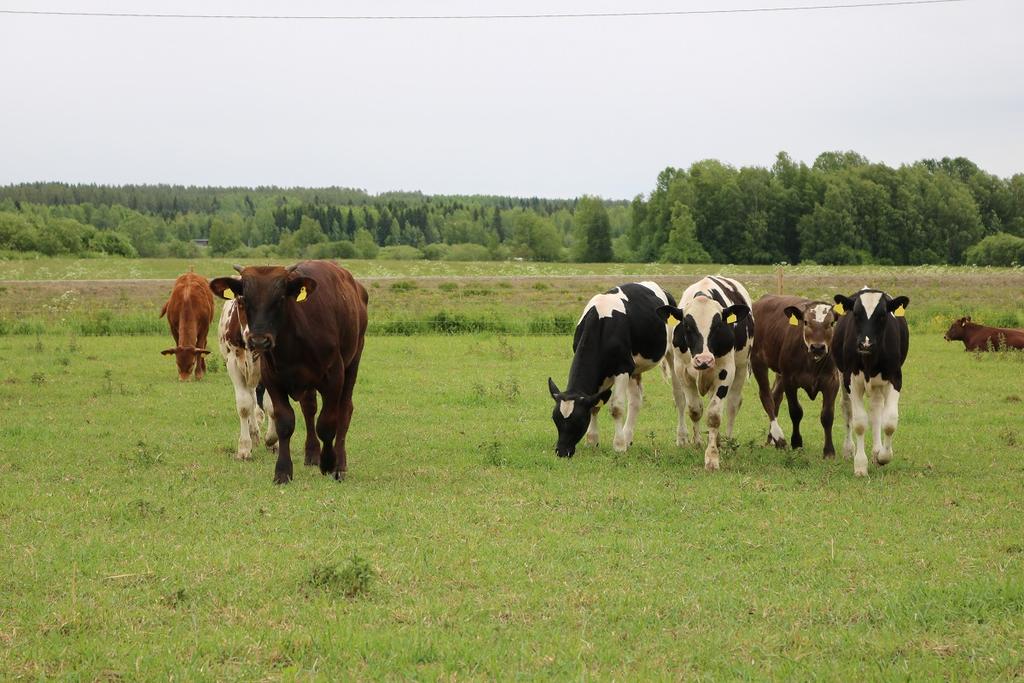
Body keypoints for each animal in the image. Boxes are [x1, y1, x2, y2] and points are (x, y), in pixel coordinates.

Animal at [207, 259, 368, 483]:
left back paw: (340, 463)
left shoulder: (333, 376)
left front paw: (329, 463)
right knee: (307, 408)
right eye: (242, 300)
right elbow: (274, 417)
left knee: (344, 410)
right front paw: (276, 467)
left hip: (352, 363)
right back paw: (309, 453)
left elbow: (327, 423)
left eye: (280, 298)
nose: (256, 339)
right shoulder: (262, 374)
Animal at [548, 280, 684, 456]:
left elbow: (617, 407)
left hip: (672, 354)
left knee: (679, 396)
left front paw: (618, 445)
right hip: (635, 368)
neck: (601, 322)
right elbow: (595, 405)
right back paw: (628, 437)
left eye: (579, 420)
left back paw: (681, 438)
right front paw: (592, 441)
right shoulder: (606, 374)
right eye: (555, 419)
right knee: (635, 400)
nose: (562, 451)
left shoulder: (623, 368)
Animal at [655, 274, 753, 473]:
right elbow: (694, 409)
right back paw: (686, 438)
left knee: (732, 405)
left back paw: (727, 443)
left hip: (741, 367)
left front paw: (712, 457)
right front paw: (697, 442)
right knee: (681, 401)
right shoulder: (682, 371)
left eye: (718, 326)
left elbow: (714, 416)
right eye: (687, 326)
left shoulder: (726, 371)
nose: (704, 360)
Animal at [745, 294, 839, 458]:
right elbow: (796, 412)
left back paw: (771, 439)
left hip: (779, 373)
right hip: (758, 362)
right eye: (806, 322)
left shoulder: (832, 382)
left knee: (776, 397)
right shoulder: (790, 380)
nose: (818, 347)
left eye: (831, 323)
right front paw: (797, 443)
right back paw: (779, 439)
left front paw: (829, 451)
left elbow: (827, 415)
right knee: (767, 398)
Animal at [835, 288, 909, 475]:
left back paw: (876, 451)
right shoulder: (852, 381)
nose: (865, 344)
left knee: (876, 411)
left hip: (877, 385)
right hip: (842, 377)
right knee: (847, 409)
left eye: (882, 315)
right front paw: (860, 465)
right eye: (856, 314)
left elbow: (889, 422)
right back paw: (848, 449)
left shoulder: (895, 379)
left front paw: (883, 456)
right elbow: (859, 423)